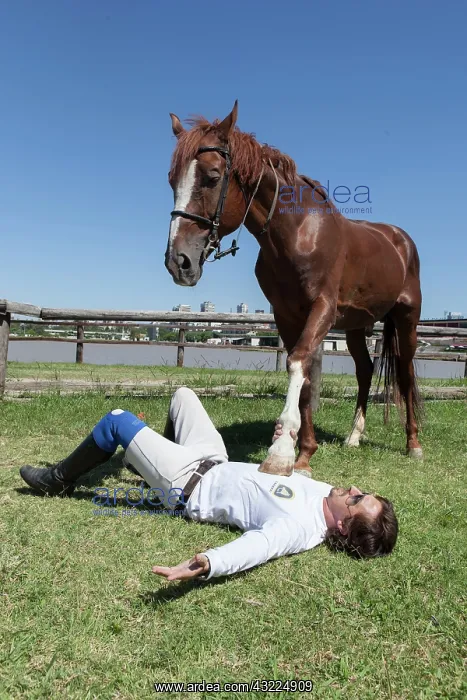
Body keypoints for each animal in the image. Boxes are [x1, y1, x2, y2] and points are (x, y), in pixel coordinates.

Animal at [165, 101, 423, 477]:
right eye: (172, 181)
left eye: (212, 176)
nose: (178, 261)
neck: (297, 231)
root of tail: (400, 239)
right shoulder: (287, 316)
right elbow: (304, 378)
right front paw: (304, 456)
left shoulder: (322, 309)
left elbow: (298, 362)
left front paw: (282, 450)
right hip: (356, 326)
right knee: (365, 371)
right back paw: (354, 436)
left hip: (406, 318)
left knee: (405, 372)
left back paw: (413, 444)